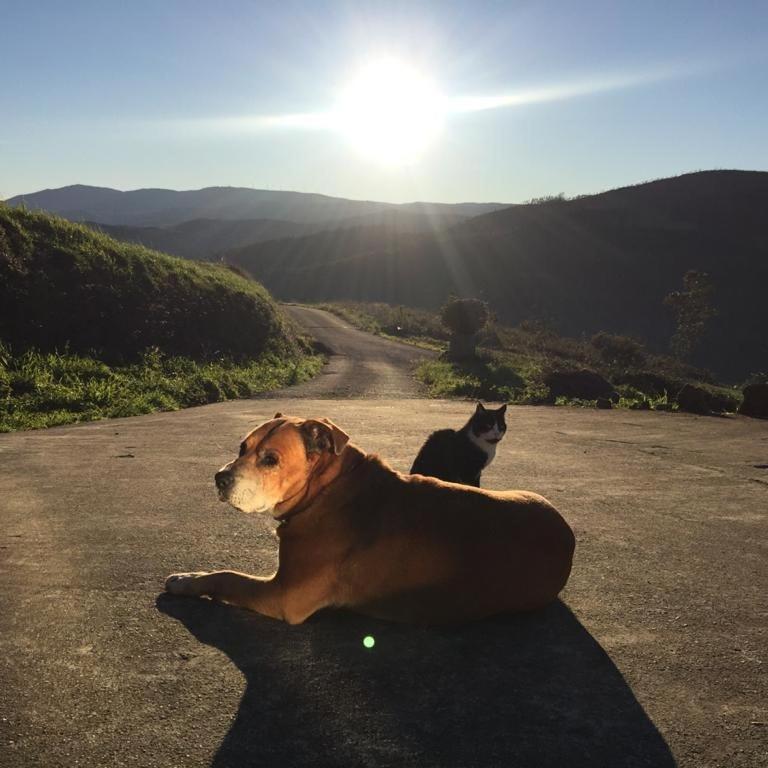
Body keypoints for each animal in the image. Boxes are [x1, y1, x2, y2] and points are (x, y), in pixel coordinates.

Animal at [168, 414, 576, 624]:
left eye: (271, 460)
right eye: (243, 447)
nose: (219, 478)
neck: (328, 488)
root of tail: (568, 536)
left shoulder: (284, 595)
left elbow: (227, 577)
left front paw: (187, 580)